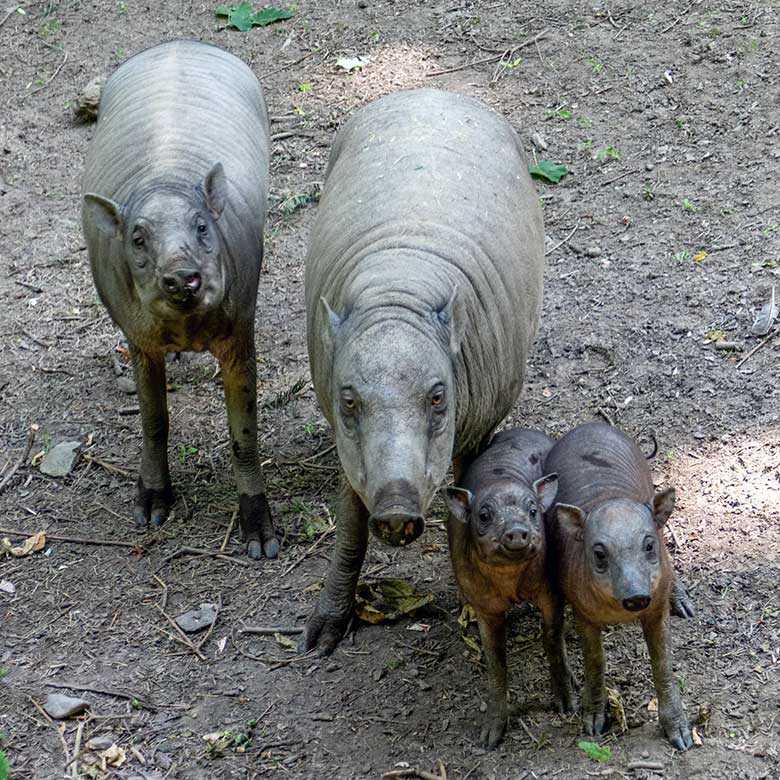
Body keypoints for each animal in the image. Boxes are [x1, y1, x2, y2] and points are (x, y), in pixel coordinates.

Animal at [81, 39, 278, 556]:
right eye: (137, 239)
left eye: (203, 226)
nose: (183, 279)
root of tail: (178, 43)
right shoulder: (139, 341)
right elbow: (153, 420)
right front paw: (152, 500)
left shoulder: (239, 333)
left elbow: (243, 431)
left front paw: (259, 528)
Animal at [302, 88, 544, 656]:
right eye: (349, 401)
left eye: (438, 397)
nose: (395, 510)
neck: (398, 293)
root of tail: (432, 91)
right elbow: (350, 522)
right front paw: (325, 629)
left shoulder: (479, 424)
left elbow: (473, 485)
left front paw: (475, 606)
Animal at [544, 424, 692, 752]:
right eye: (599, 554)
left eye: (648, 546)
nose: (636, 597)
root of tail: (591, 425)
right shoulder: (583, 612)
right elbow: (595, 661)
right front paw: (593, 722)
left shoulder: (656, 605)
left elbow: (663, 662)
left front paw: (681, 735)